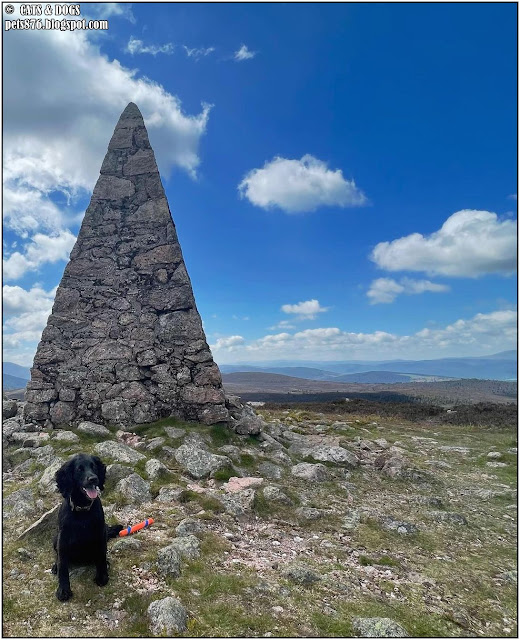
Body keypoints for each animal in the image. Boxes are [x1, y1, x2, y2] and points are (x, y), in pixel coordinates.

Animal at [52, 456, 123, 600]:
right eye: (79, 469)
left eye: (93, 466)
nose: (93, 478)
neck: (83, 509)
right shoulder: (63, 537)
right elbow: (63, 565)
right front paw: (63, 590)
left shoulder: (100, 532)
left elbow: (101, 556)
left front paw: (102, 576)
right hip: (56, 538)